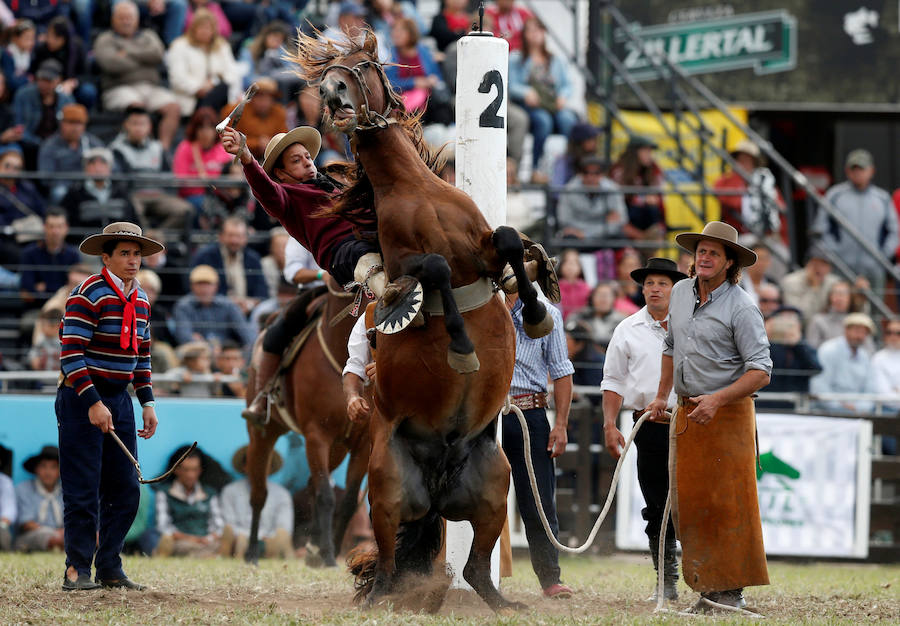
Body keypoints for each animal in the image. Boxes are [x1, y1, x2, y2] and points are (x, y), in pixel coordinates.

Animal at [243, 279, 371, 567]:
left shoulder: (363, 442)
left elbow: (348, 500)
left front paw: (331, 550)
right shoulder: (316, 435)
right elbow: (325, 496)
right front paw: (329, 554)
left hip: (337, 449)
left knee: (312, 485)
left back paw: (313, 547)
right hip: (263, 434)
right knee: (259, 494)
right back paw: (252, 553)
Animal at [289, 31, 554, 613]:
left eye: (363, 64)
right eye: (329, 75)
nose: (334, 92)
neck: (413, 190)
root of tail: (435, 487)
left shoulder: (480, 245)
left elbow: (506, 239)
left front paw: (537, 311)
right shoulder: (407, 264)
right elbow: (434, 269)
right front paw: (461, 347)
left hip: (495, 485)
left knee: (476, 568)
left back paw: (504, 604)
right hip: (385, 488)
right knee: (388, 567)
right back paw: (380, 598)